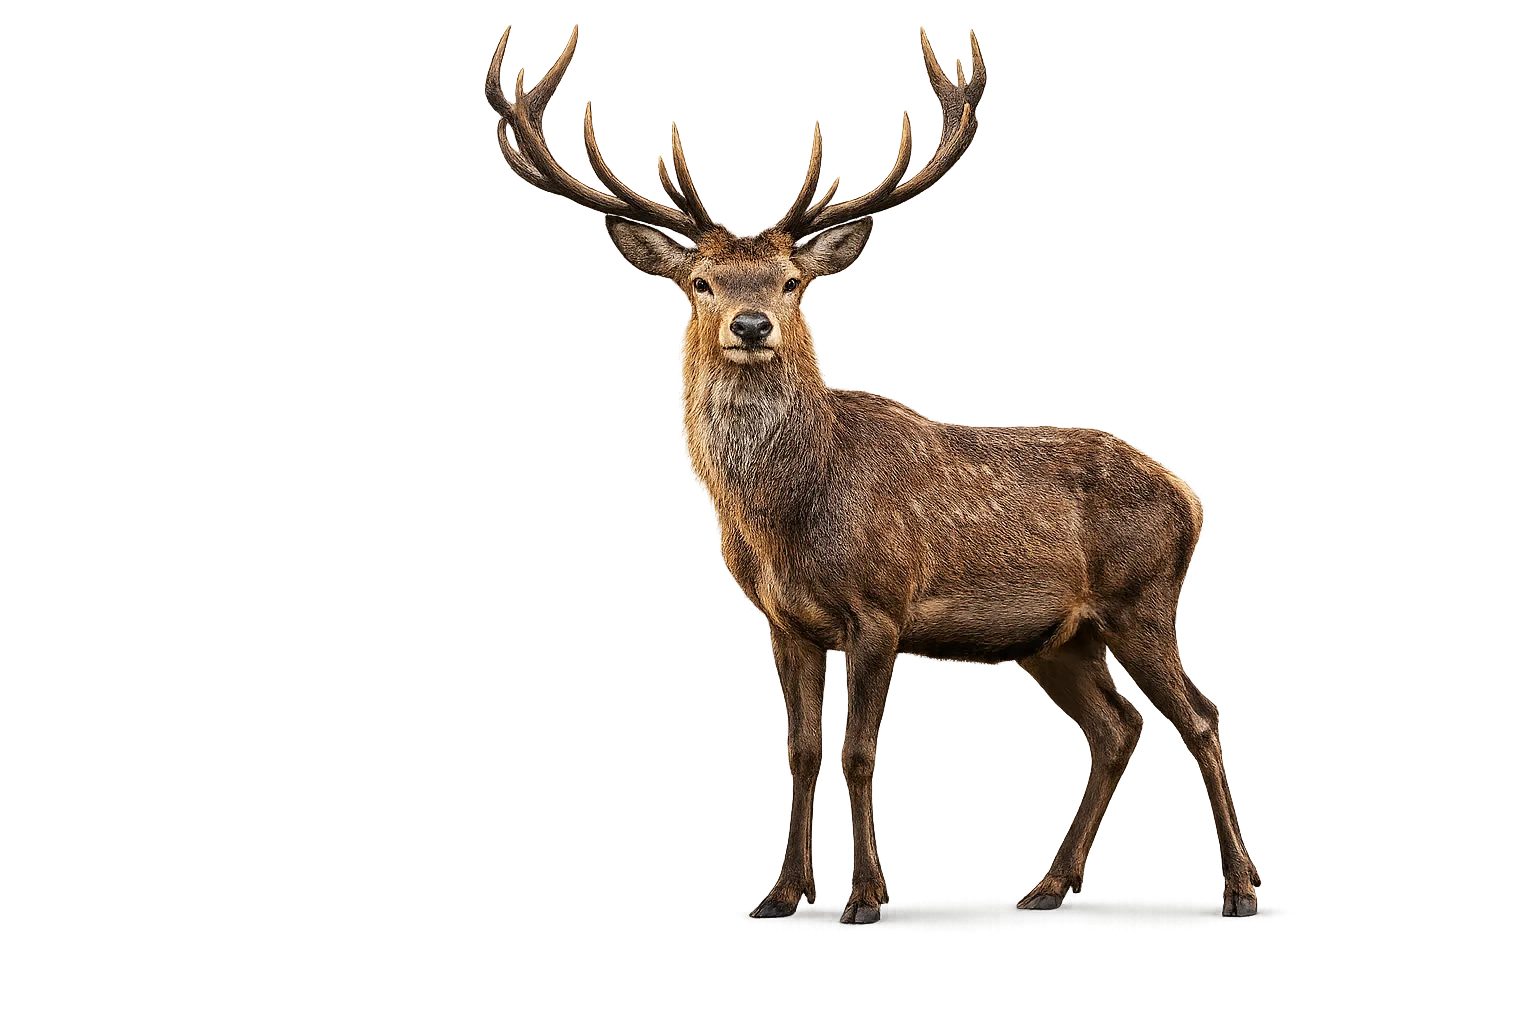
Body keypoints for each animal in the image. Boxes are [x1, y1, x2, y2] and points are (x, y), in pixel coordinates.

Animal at [485, 25, 1262, 923]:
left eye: (792, 280)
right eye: (702, 281)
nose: (752, 324)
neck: (787, 519)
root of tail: (1188, 499)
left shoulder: (880, 609)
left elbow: (859, 752)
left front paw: (865, 894)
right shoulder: (784, 625)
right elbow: (801, 752)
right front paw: (783, 892)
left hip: (1142, 599)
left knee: (1199, 720)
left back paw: (1240, 886)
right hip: (1062, 638)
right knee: (1117, 730)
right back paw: (1050, 883)